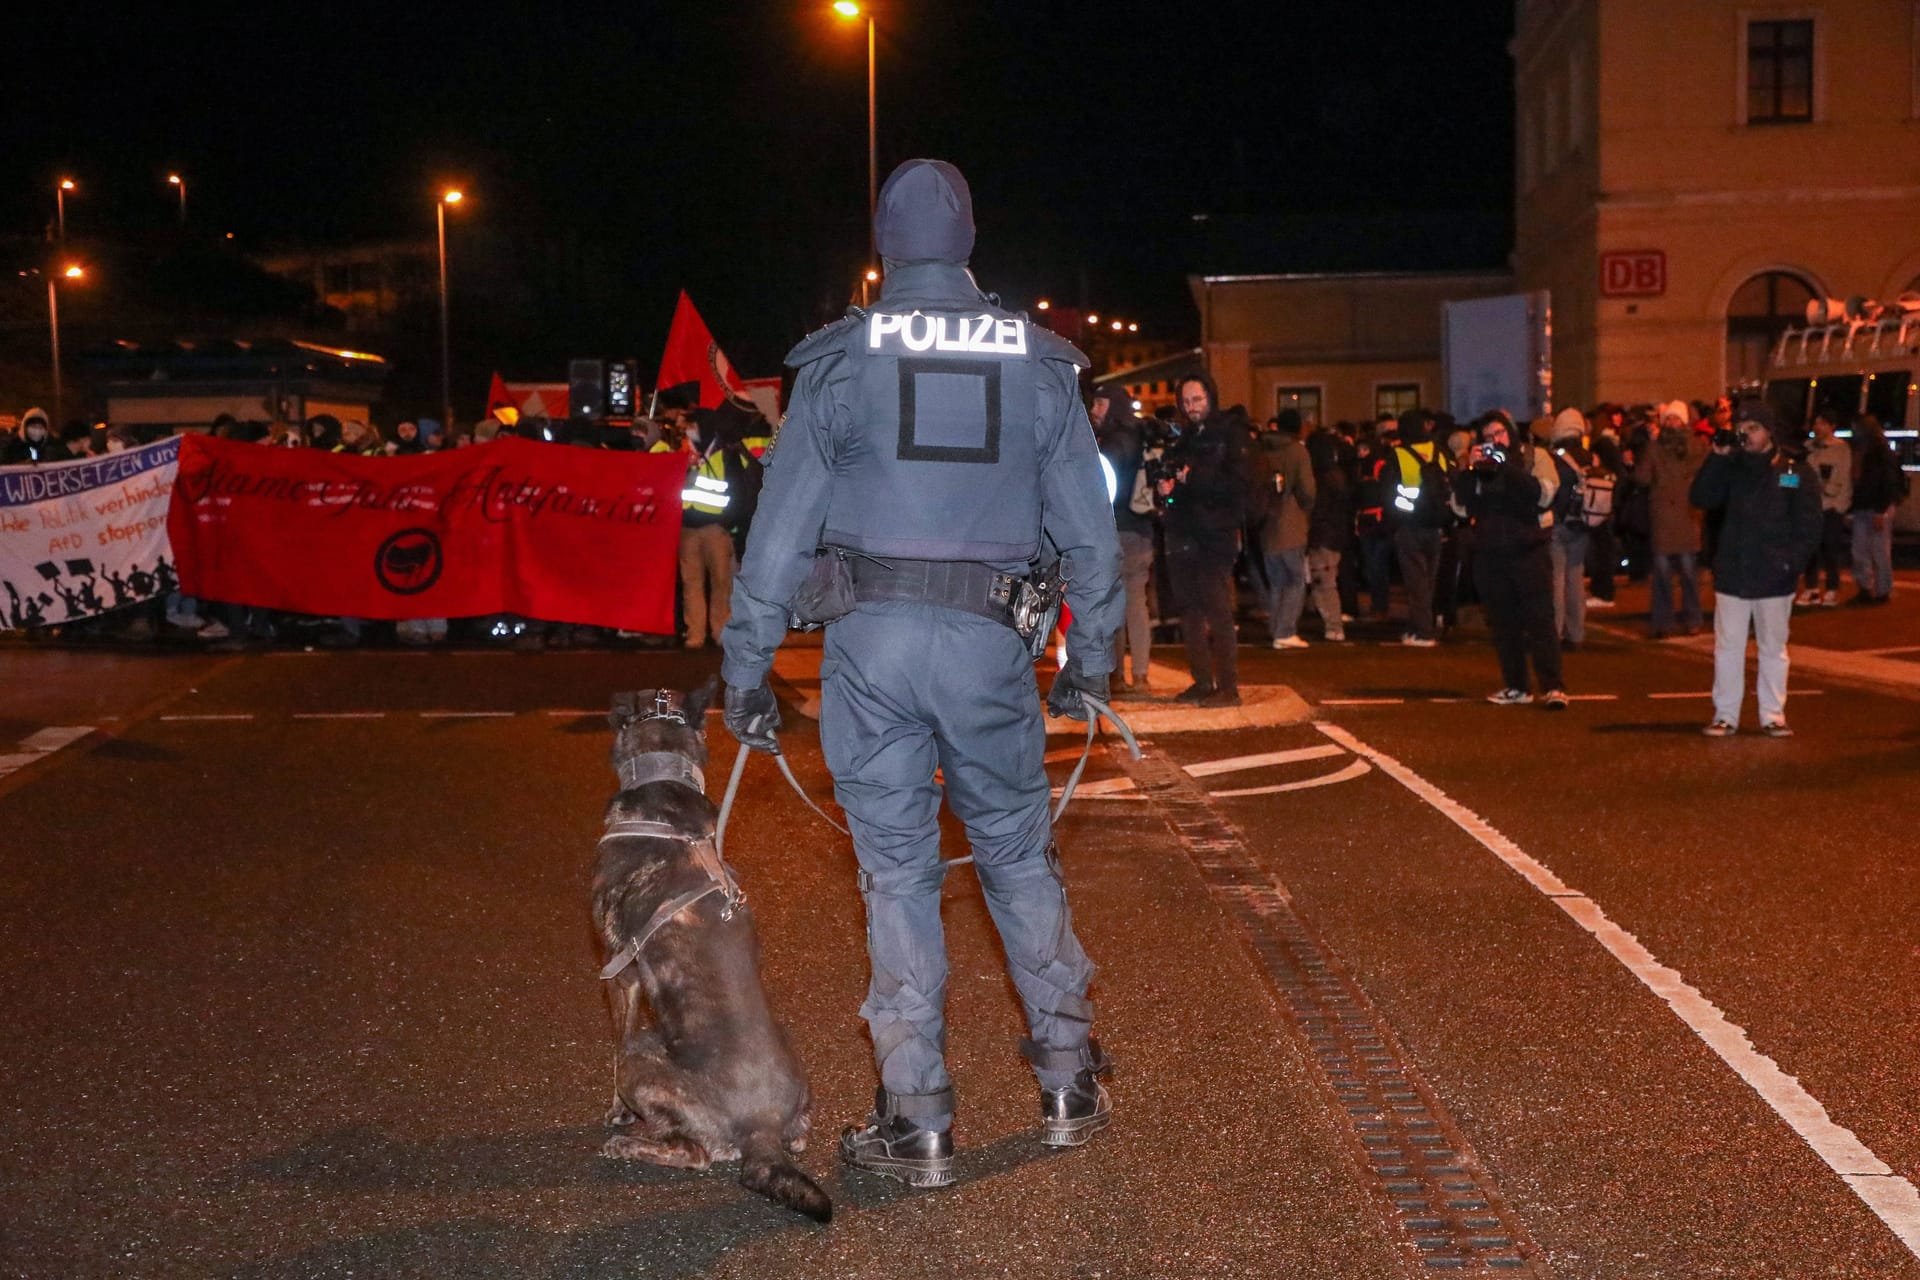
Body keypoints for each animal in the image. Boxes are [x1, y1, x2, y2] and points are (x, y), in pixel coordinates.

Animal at [583, 687, 825, 1228]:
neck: (663, 782)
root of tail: (761, 1126)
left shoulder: (619, 971)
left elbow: (614, 1039)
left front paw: (616, 1113)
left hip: (642, 1059)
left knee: (692, 1152)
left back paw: (630, 1142)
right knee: (800, 1138)